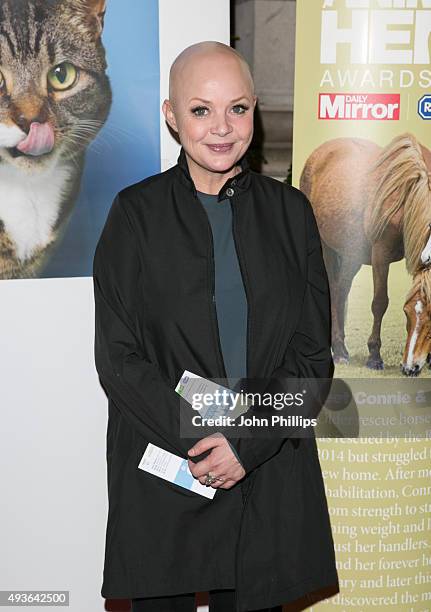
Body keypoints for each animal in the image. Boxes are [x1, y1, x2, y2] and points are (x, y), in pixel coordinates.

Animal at [300, 132, 431, 376]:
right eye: (406, 312)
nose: (411, 367)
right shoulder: (380, 254)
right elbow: (380, 302)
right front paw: (374, 356)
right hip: (327, 247)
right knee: (334, 289)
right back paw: (338, 351)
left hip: (351, 255)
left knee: (342, 289)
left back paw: (341, 347)